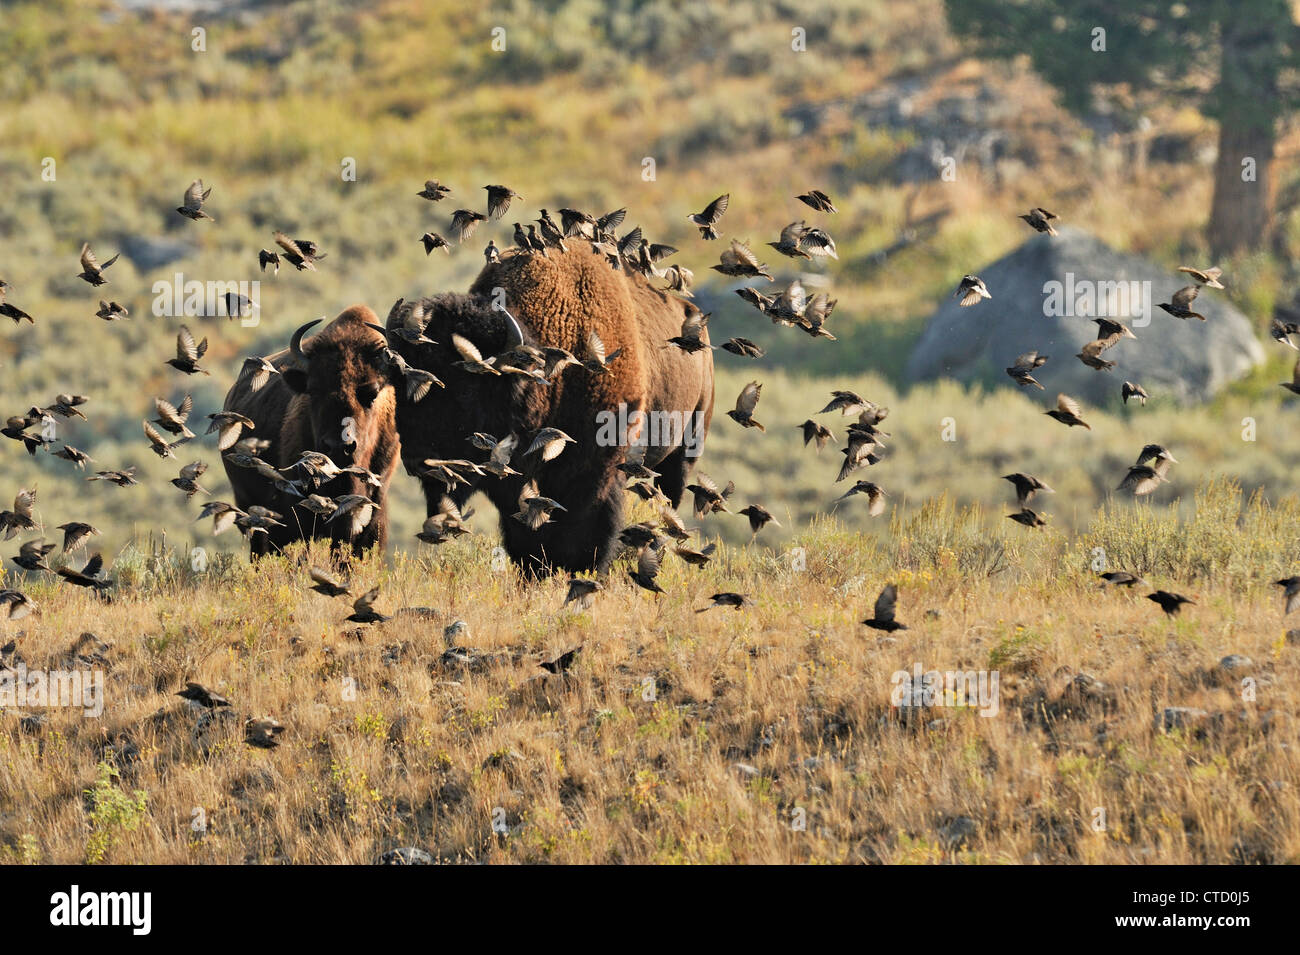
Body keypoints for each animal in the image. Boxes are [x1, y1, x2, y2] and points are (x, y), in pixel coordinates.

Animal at [379, 246, 717, 574]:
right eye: (397, 384)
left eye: (466, 389)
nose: (417, 459)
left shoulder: (597, 477)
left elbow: (586, 539)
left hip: (683, 453)